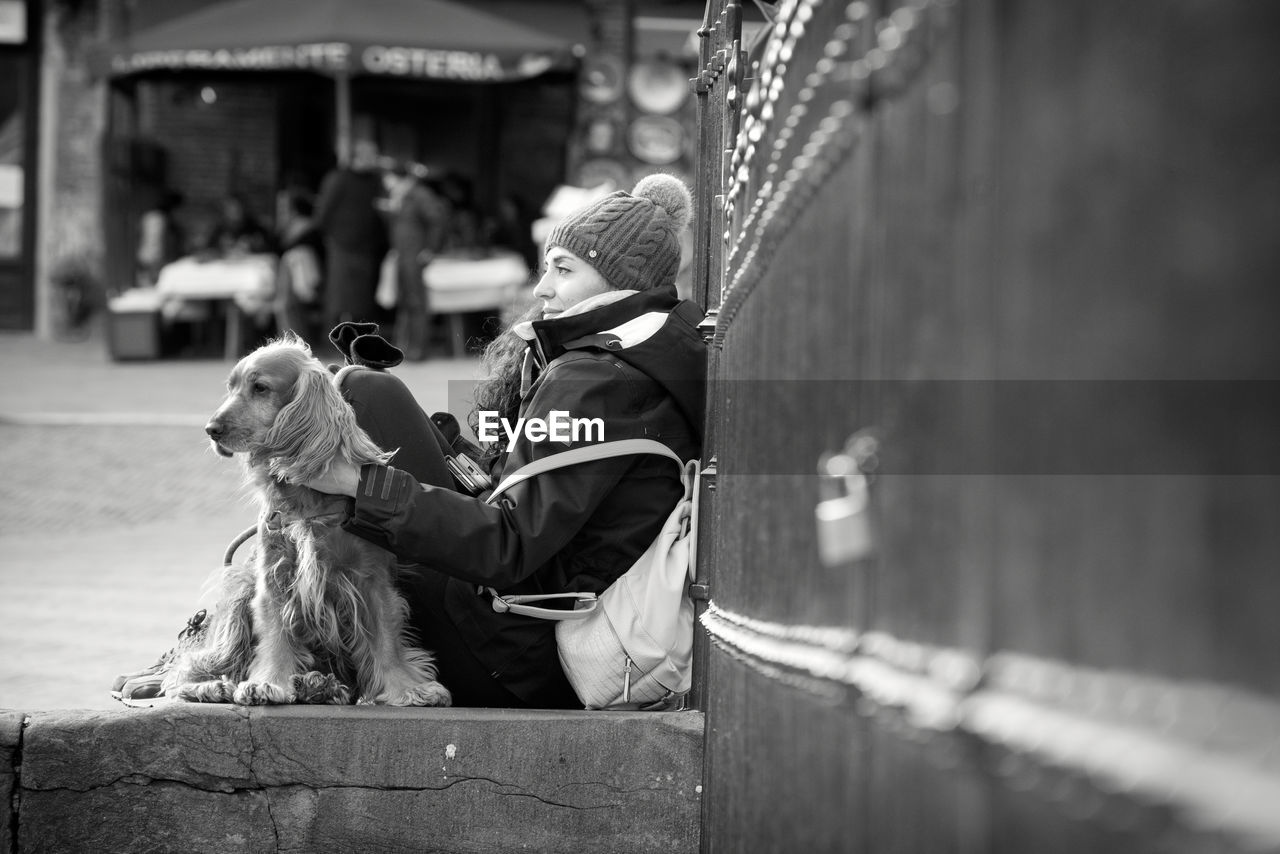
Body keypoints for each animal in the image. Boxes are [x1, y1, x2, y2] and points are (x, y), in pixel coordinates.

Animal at [117, 332, 453, 706]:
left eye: (260, 388)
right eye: (231, 387)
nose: (211, 429)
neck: (307, 498)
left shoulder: (372, 578)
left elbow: (385, 638)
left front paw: (407, 688)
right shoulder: (274, 576)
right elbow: (275, 633)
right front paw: (268, 683)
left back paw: (318, 685)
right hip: (237, 594)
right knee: (183, 674)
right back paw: (216, 686)